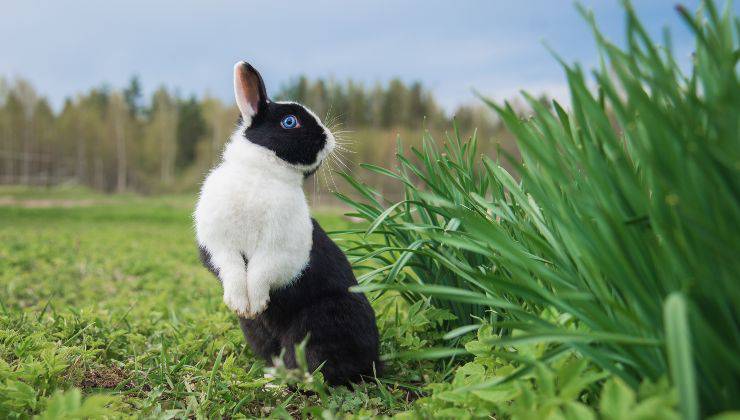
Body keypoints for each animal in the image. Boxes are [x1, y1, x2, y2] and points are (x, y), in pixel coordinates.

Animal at [195, 60, 382, 386]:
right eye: (290, 121)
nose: (330, 139)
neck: (261, 172)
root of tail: (375, 362)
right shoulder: (218, 245)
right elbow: (232, 269)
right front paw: (241, 304)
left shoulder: (281, 251)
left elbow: (261, 271)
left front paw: (256, 302)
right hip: (258, 333)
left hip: (319, 325)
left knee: (317, 368)